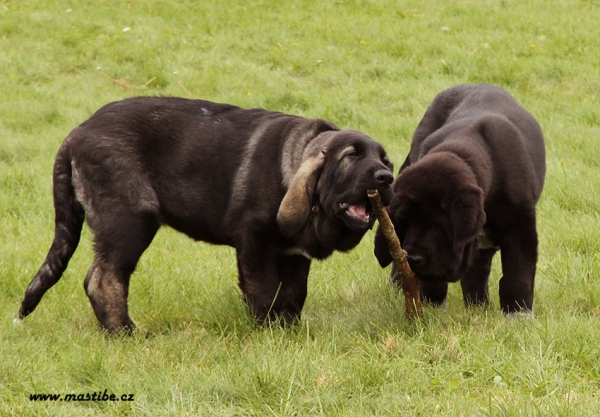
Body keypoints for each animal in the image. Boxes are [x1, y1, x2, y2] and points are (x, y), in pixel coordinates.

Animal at [17, 95, 394, 332]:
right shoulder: (255, 243)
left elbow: (293, 295)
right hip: (129, 220)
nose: (386, 178)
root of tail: (77, 132)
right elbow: (264, 291)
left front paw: (289, 331)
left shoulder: (294, 255)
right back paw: (125, 332)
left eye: (385, 160)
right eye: (350, 156)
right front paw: (267, 332)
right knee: (103, 278)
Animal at [378, 83, 548, 312]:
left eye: (436, 226)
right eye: (405, 222)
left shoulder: (520, 226)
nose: (413, 258)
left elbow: (517, 276)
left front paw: (518, 313)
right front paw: (433, 306)